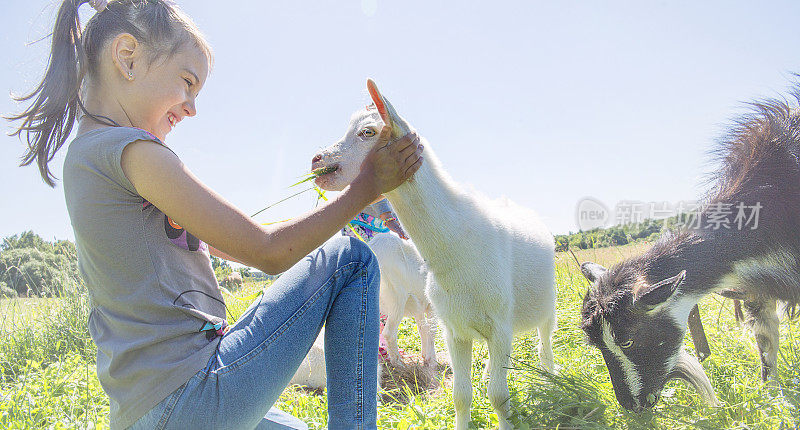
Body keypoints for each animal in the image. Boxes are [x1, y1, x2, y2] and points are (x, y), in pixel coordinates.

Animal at [312, 80, 556, 430]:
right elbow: (461, 395)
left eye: (367, 132)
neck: (456, 250)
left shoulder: (500, 326)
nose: (316, 160)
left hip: (548, 304)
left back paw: (552, 379)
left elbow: (499, 396)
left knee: (544, 344)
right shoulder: (455, 329)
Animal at [580, 89, 800, 412]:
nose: (631, 405)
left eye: (627, 340)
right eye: (596, 344)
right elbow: (766, 342)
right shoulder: (759, 290)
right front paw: (771, 400)